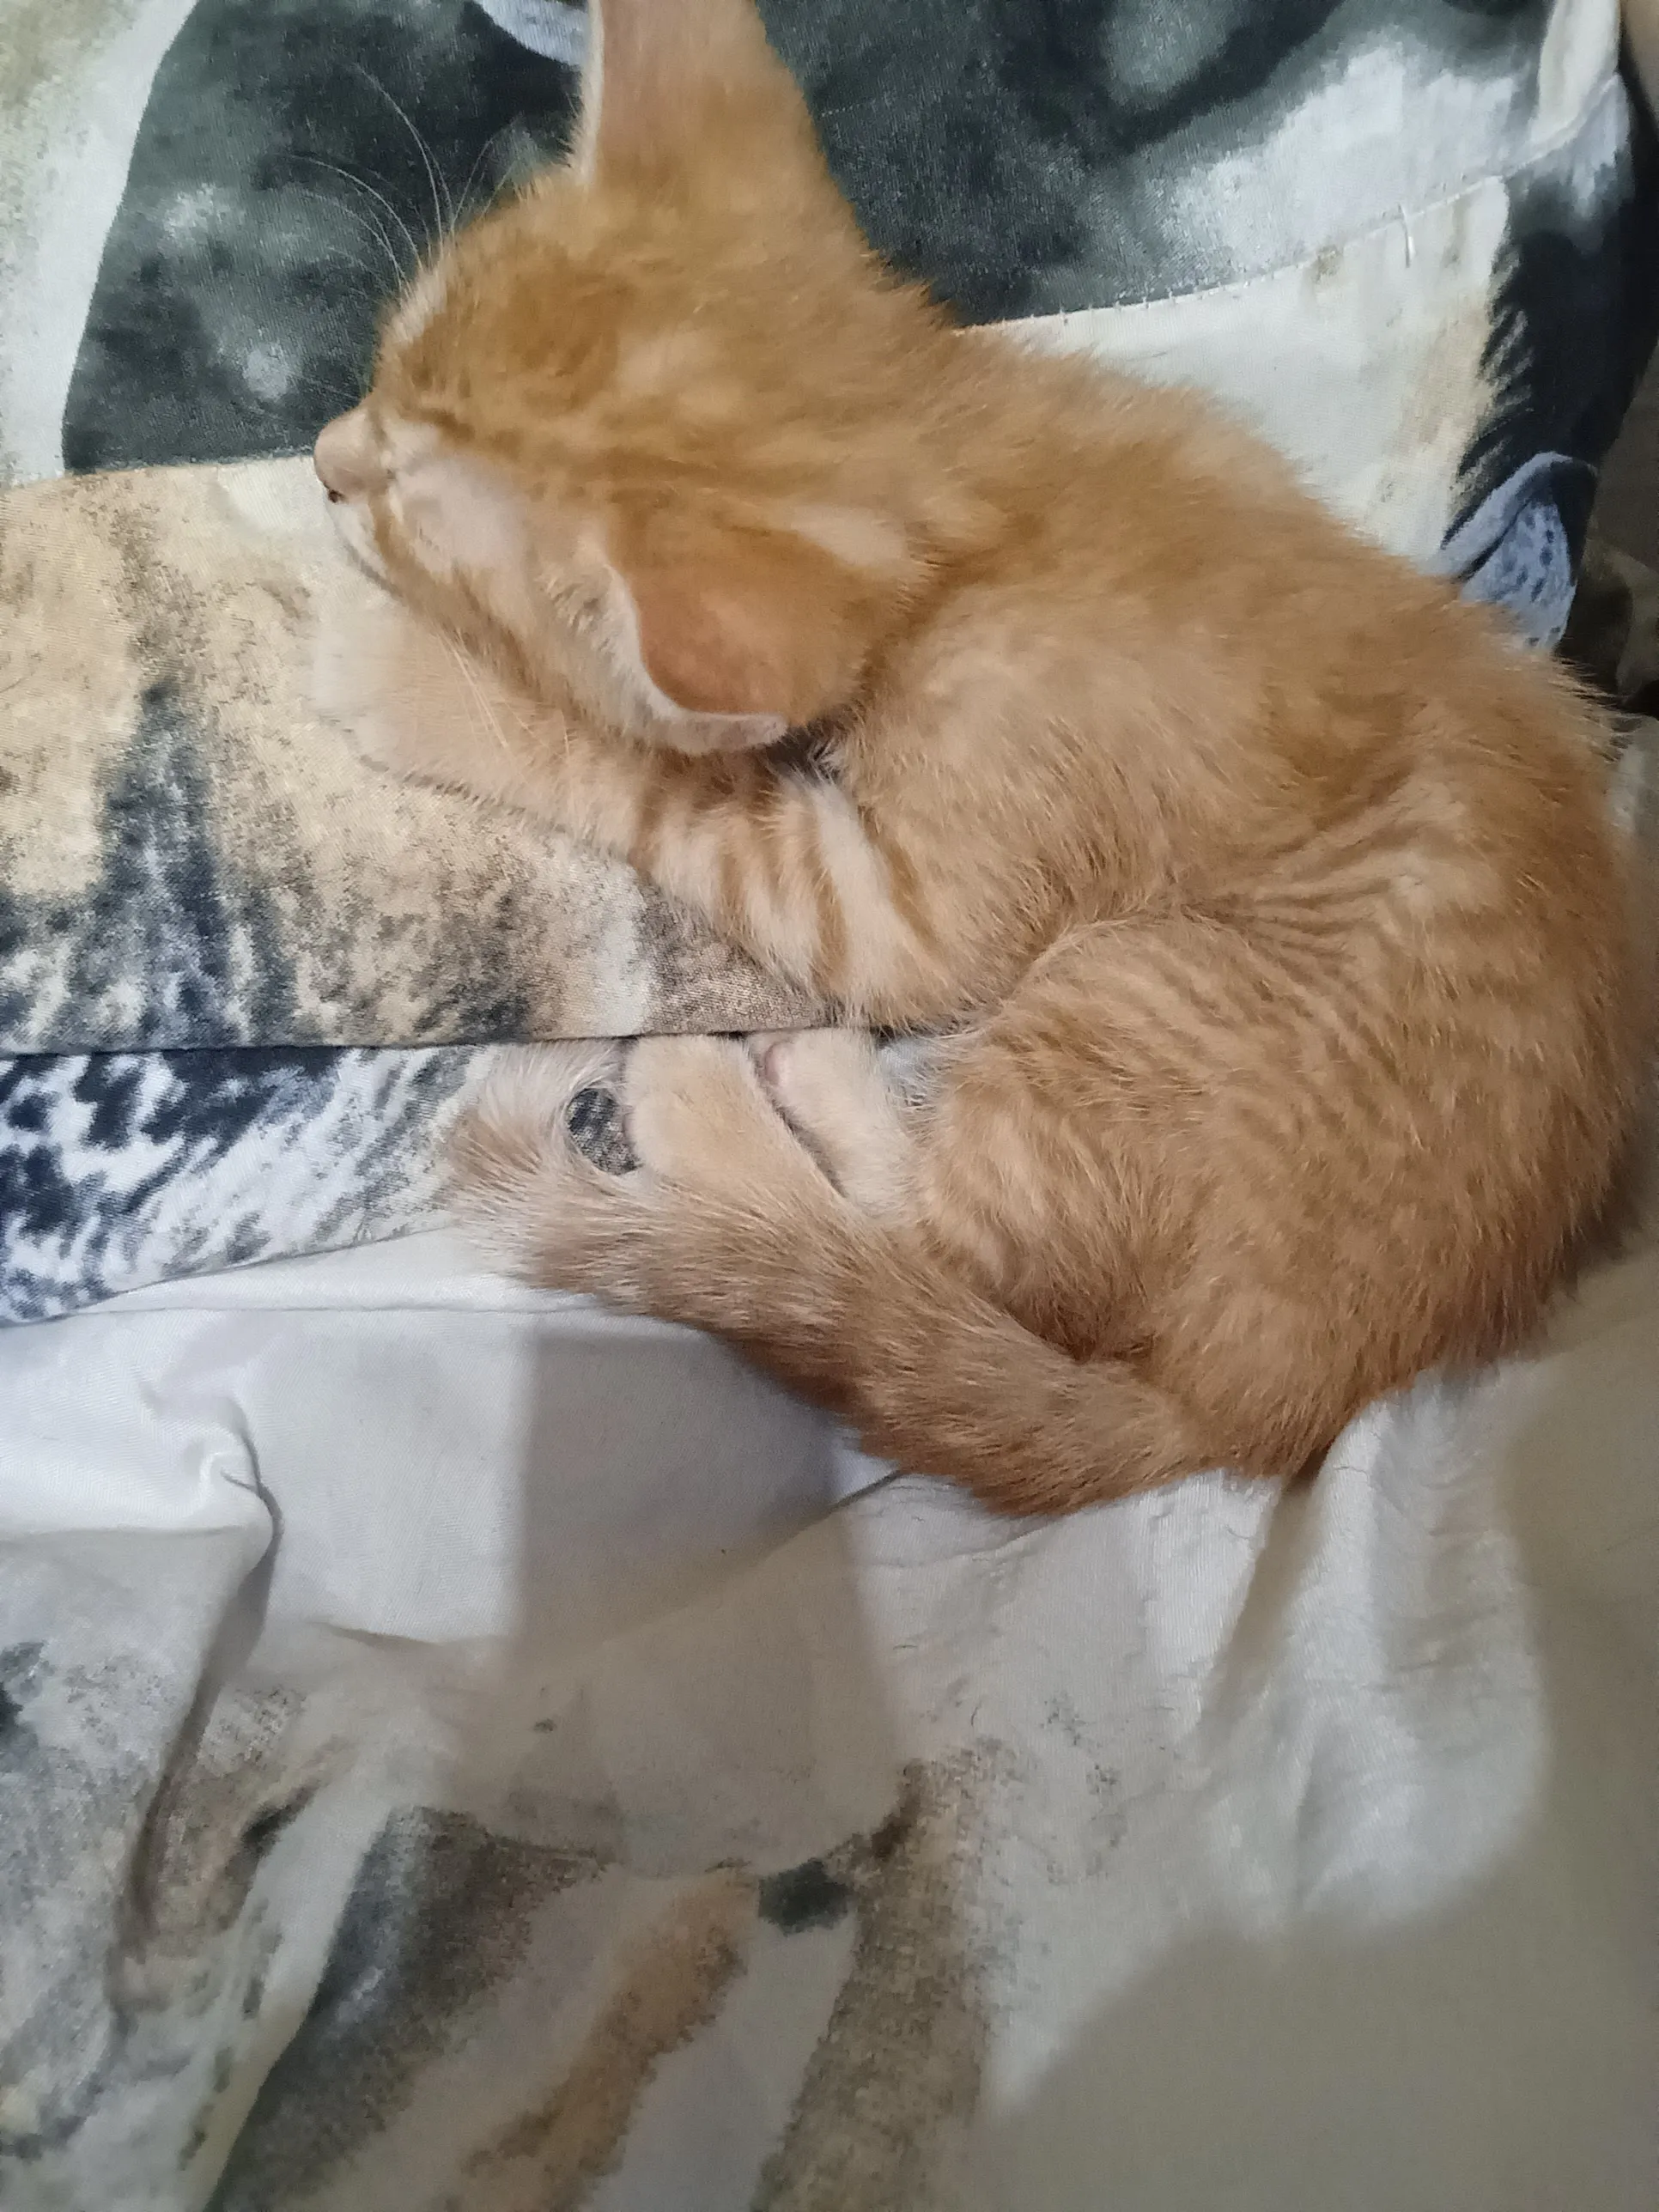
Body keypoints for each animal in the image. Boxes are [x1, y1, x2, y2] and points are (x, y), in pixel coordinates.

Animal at [311, 0, 1644, 1513]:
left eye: (406, 511)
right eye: (385, 360)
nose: (323, 455)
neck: (980, 477)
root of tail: (1260, 1415)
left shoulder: (911, 908)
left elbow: (672, 790)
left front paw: (411, 676)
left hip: (1138, 993)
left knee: (928, 1245)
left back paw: (725, 1104)